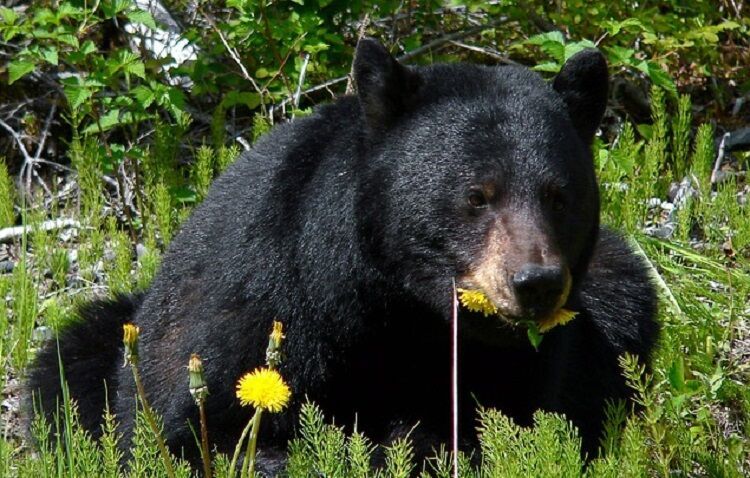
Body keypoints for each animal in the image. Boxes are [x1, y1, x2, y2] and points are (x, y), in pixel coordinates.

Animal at [28, 37, 659, 467]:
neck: (394, 304)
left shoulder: (521, 361)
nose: (536, 283)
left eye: (559, 196)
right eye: (477, 195)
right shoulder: (260, 301)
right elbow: (200, 429)